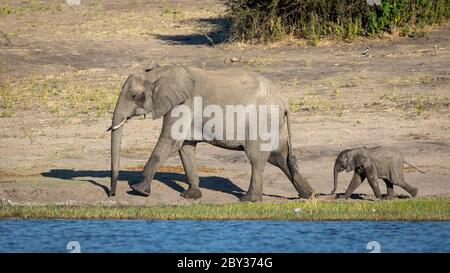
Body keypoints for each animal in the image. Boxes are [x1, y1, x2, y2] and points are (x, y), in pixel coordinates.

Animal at [107, 63, 314, 200]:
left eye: (135, 96)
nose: (112, 194)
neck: (160, 72)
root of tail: (285, 102)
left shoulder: (184, 105)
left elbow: (169, 142)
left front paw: (138, 190)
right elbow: (185, 147)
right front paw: (190, 196)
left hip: (261, 122)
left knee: (257, 158)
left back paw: (249, 200)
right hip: (273, 124)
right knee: (280, 157)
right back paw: (308, 195)